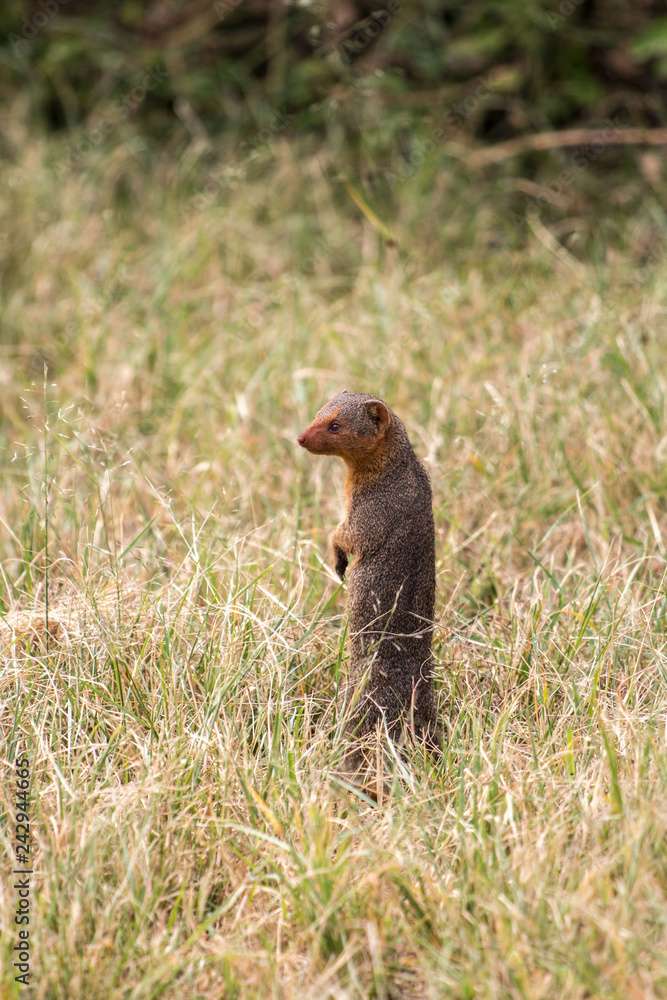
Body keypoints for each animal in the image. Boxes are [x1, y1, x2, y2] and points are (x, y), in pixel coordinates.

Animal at [297, 391, 440, 771]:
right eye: (317, 414)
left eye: (335, 425)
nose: (300, 438)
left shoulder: (373, 513)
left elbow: (348, 536)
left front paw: (338, 560)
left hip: (359, 694)